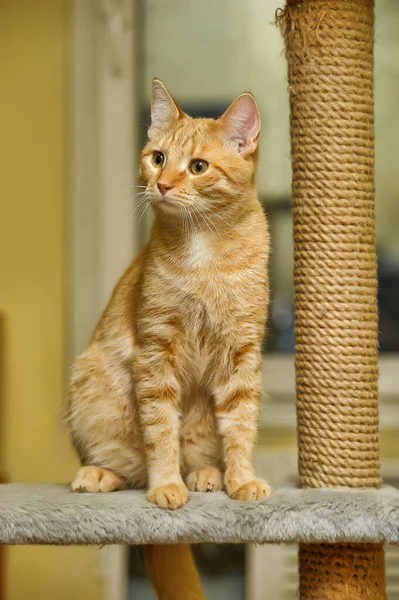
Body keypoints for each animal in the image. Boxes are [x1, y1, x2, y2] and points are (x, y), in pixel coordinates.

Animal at [67, 78, 270, 596]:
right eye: (158, 157)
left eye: (197, 167)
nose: (161, 185)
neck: (205, 252)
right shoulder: (155, 351)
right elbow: (160, 432)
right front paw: (167, 485)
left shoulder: (242, 353)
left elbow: (240, 427)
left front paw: (241, 479)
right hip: (92, 388)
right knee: (130, 470)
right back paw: (100, 476)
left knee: (199, 451)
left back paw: (206, 475)